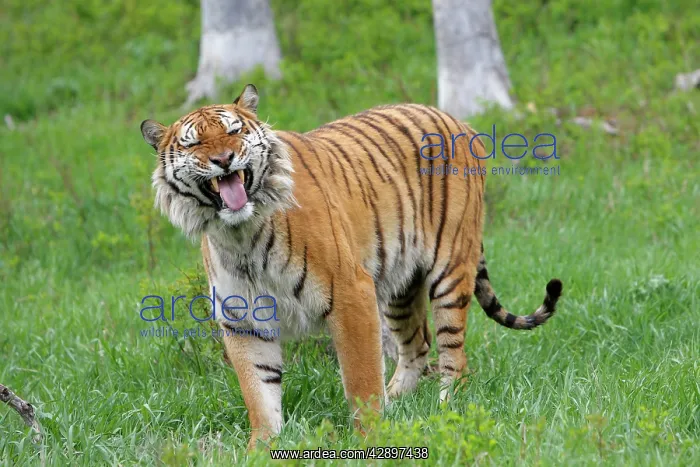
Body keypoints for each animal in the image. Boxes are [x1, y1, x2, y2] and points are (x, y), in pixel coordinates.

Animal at [139, 84, 563, 449]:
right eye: (194, 143)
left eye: (234, 130)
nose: (223, 160)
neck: (241, 232)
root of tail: (460, 122)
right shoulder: (243, 318)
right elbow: (259, 392)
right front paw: (262, 447)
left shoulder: (349, 292)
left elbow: (361, 378)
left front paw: (370, 437)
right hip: (399, 286)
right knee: (417, 346)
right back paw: (401, 403)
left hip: (450, 268)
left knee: (454, 355)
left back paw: (447, 410)